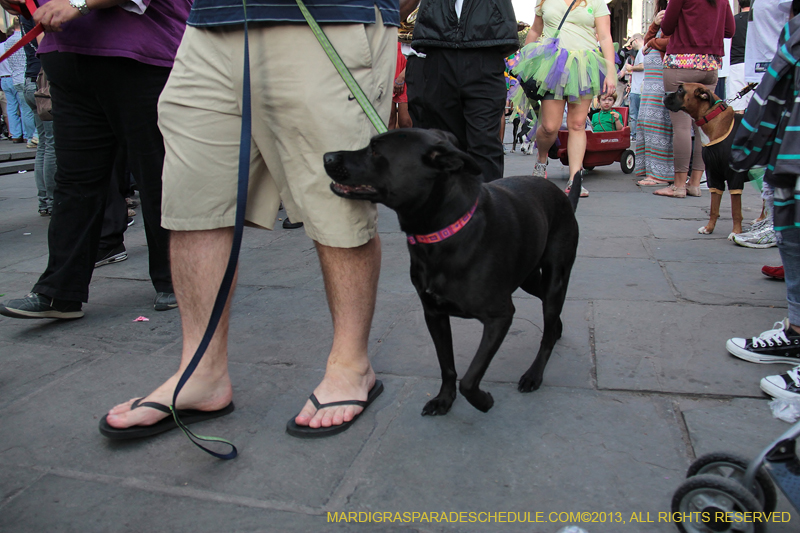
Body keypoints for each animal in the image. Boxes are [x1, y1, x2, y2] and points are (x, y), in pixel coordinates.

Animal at [324, 129, 580, 416]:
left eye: (376, 151)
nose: (326, 156)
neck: (442, 234)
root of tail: (563, 197)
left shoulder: (500, 317)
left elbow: (469, 378)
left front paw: (482, 401)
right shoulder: (434, 315)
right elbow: (447, 366)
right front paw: (444, 399)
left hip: (556, 278)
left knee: (547, 326)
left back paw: (534, 374)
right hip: (530, 279)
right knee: (548, 309)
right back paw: (556, 329)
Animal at [664, 83, 744, 237]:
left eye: (681, 90)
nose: (664, 94)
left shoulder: (735, 178)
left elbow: (736, 210)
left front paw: (736, 233)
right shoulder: (714, 175)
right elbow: (714, 208)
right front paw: (709, 228)